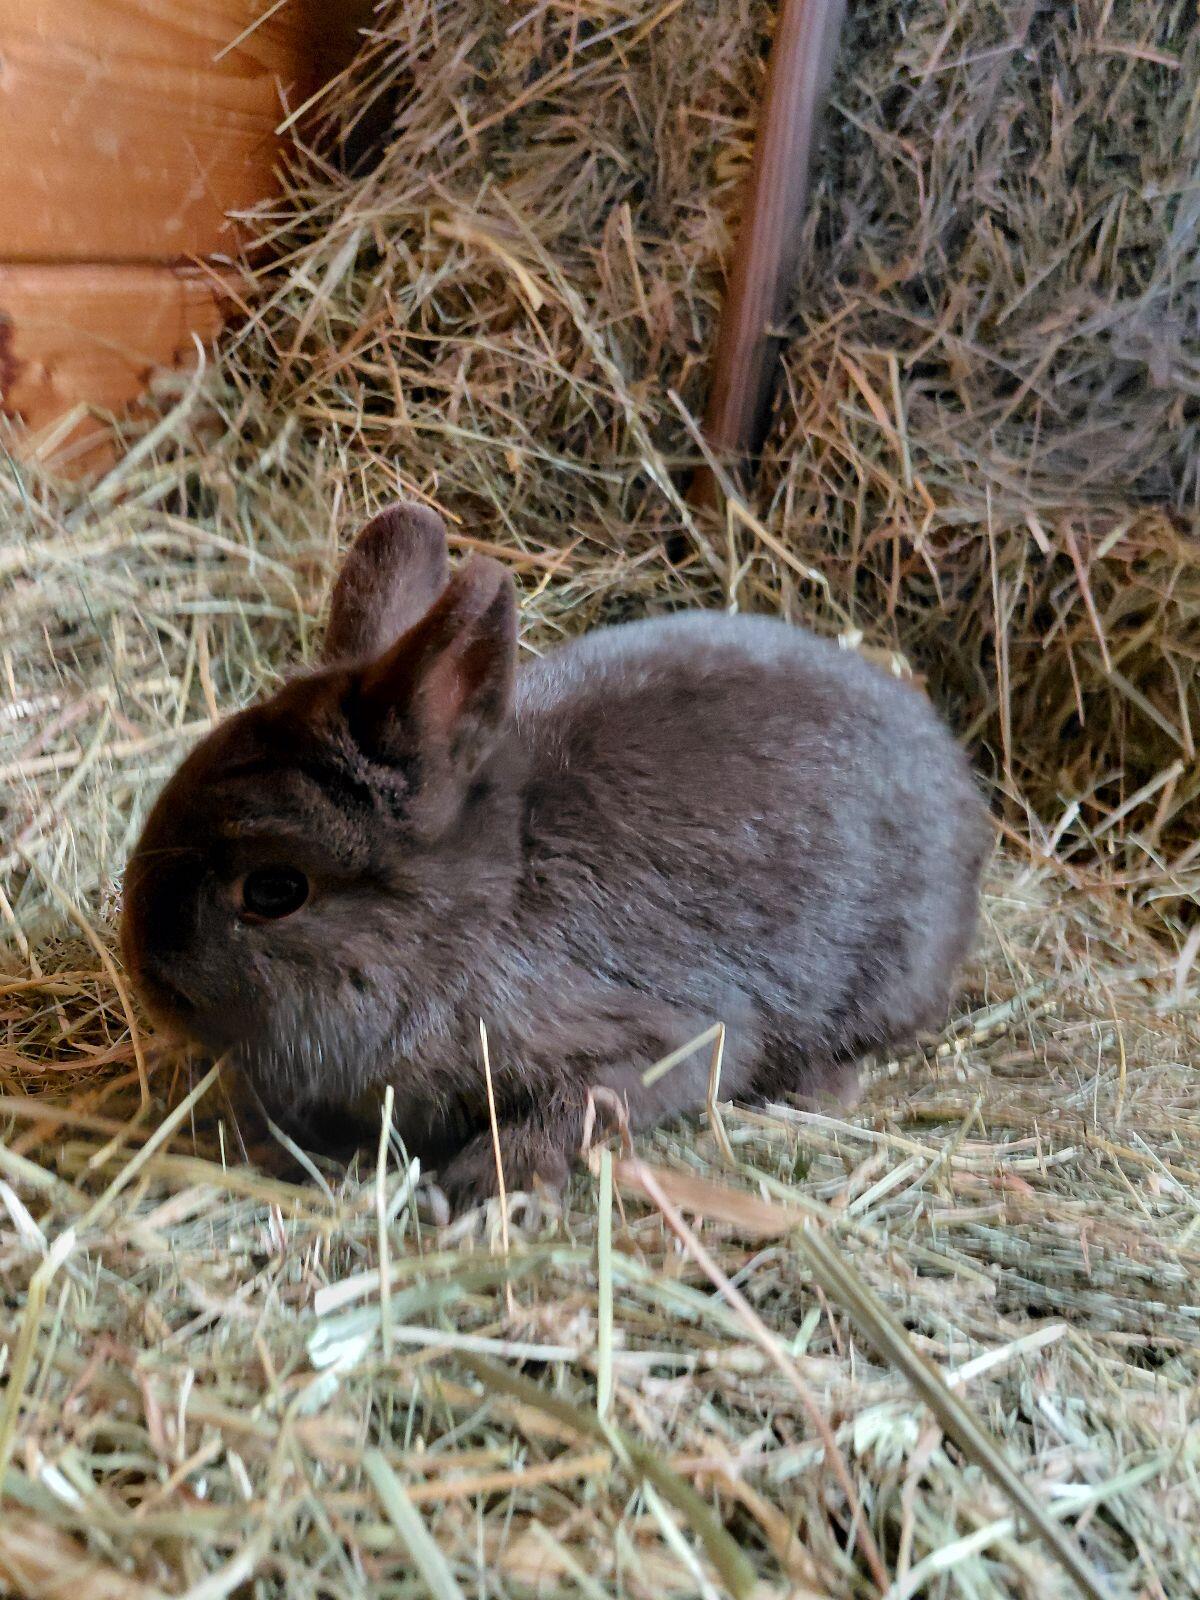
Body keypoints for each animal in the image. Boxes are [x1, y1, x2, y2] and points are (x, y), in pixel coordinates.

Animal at [121, 501, 990, 1208]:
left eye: (274, 891)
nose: (149, 975)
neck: (476, 914)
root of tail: (955, 775)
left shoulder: (657, 1036)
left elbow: (586, 1105)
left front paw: (480, 1186)